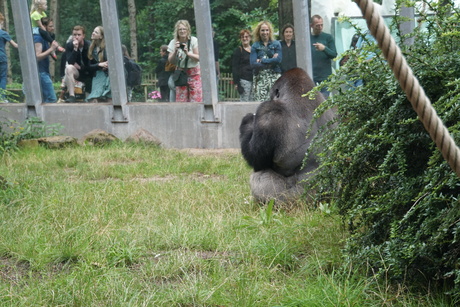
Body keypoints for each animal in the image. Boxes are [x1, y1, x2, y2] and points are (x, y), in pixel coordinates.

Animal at [241, 67, 334, 205]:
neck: (301, 95)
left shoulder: (267, 111)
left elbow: (255, 159)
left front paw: (247, 121)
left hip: (287, 200)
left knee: (259, 176)